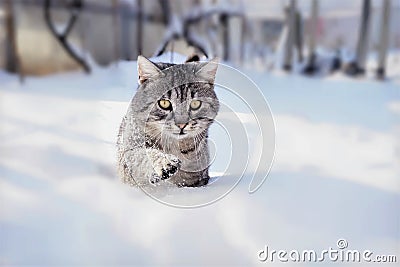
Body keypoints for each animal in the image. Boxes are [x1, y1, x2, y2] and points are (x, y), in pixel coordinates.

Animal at [117, 54, 220, 188]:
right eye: (164, 103)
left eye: (195, 104)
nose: (181, 124)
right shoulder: (127, 154)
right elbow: (142, 154)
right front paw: (165, 162)